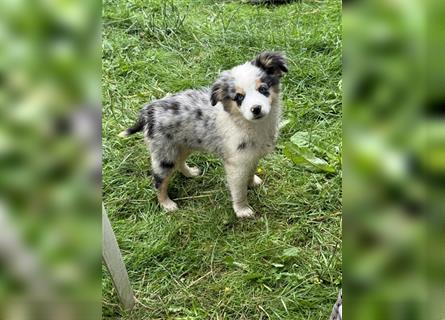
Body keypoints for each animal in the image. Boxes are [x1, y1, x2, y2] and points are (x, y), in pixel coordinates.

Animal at [119, 52, 288, 218]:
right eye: (239, 97)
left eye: (263, 89)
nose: (256, 109)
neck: (248, 123)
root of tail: (148, 112)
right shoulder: (236, 164)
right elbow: (239, 191)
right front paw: (242, 210)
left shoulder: (252, 156)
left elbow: (251, 171)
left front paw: (252, 182)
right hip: (165, 156)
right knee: (159, 182)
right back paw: (167, 204)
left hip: (183, 144)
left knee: (179, 162)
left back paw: (190, 173)